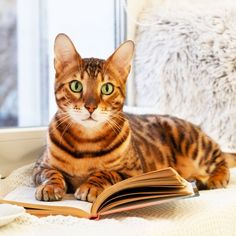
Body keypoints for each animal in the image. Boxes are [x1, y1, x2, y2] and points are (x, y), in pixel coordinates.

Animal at [32, 33, 236, 203]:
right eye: (76, 86)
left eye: (107, 88)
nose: (90, 107)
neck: (86, 143)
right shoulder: (39, 166)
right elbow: (50, 173)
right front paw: (50, 187)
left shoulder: (133, 173)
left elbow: (106, 173)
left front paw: (91, 185)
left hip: (192, 142)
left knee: (221, 159)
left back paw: (215, 178)